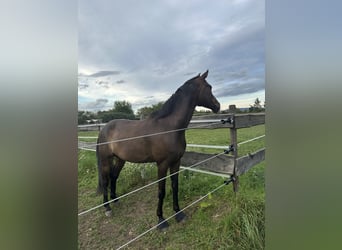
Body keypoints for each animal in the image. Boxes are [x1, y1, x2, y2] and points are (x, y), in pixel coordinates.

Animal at [96, 69, 220, 229]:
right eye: (209, 87)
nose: (218, 106)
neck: (170, 127)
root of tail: (104, 128)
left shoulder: (176, 162)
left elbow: (175, 186)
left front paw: (178, 213)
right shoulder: (162, 164)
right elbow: (161, 191)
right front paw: (161, 220)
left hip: (120, 159)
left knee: (113, 176)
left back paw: (115, 200)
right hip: (105, 160)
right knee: (105, 180)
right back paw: (107, 208)